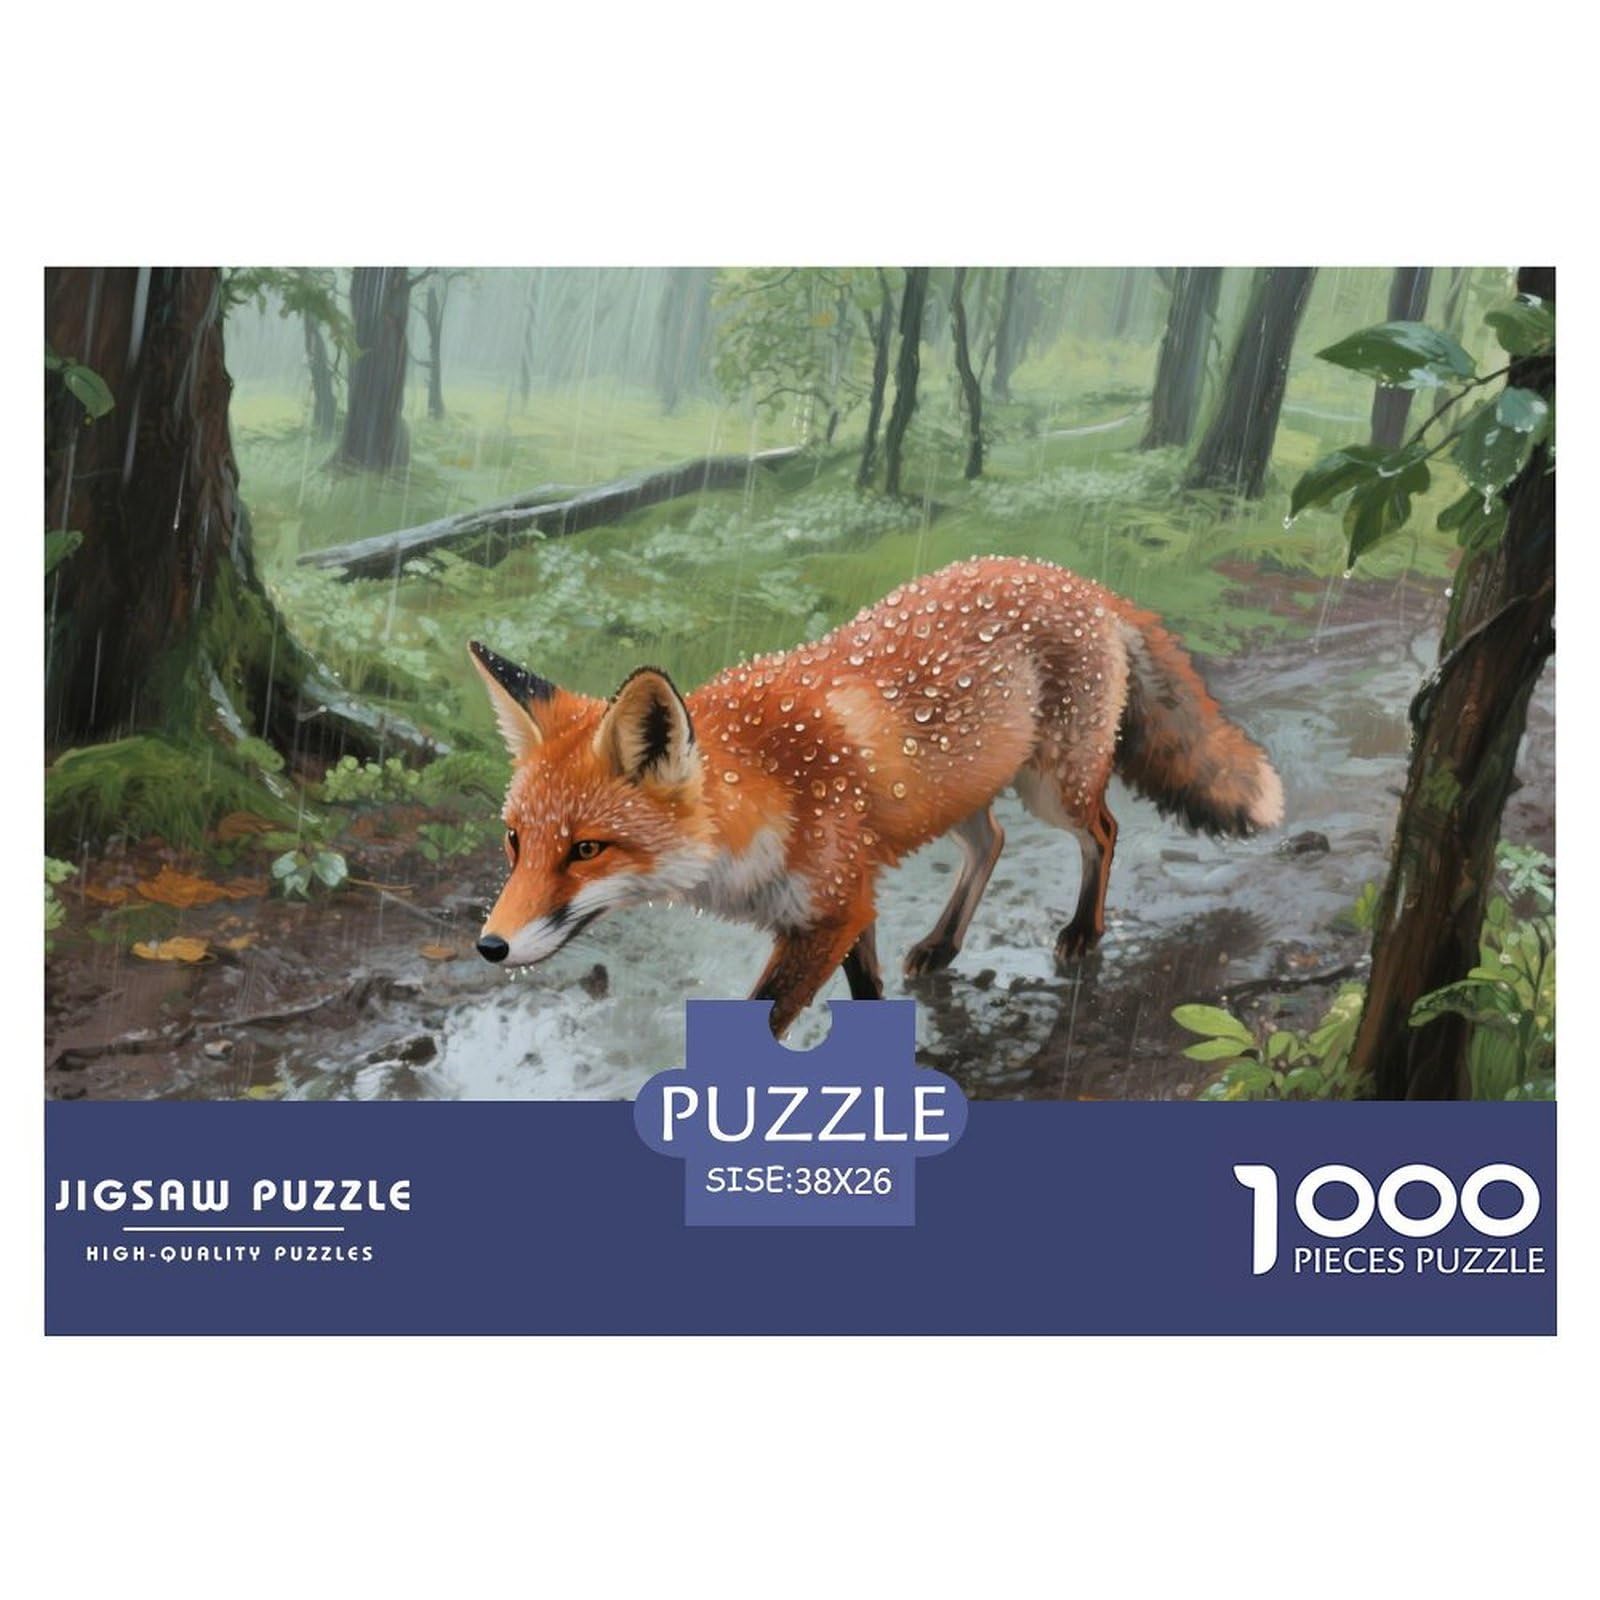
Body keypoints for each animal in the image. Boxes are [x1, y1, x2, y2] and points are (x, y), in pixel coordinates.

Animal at [469, 555, 1283, 1036]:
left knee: (1105, 832)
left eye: (585, 849)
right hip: (962, 795)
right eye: (515, 841)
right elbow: (867, 987)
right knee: (993, 842)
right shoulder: (845, 897)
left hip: (1055, 789)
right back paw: (944, 943)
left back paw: (1084, 931)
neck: (764, 793)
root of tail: (1072, 577)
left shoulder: (832, 906)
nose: (489, 946)